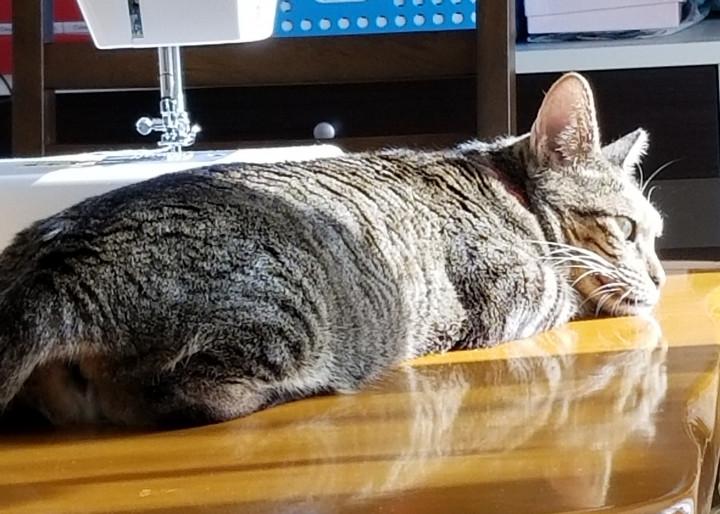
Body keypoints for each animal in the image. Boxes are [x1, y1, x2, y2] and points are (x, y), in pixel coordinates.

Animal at [0, 72, 665, 427]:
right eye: (630, 229)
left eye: (657, 233)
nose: (661, 278)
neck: (505, 191)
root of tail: (57, 265)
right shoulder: (511, 290)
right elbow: (568, 294)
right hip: (285, 314)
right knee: (184, 394)